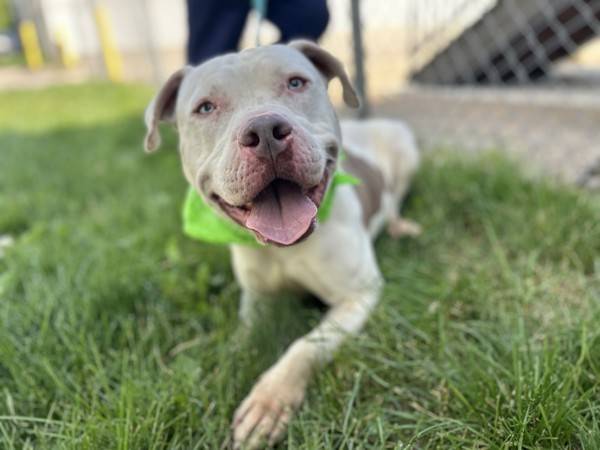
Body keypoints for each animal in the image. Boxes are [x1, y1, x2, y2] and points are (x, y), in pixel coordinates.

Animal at [144, 40, 420, 448]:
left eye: (295, 83)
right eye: (205, 107)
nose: (265, 131)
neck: (283, 249)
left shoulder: (358, 296)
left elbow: (305, 346)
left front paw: (269, 401)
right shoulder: (255, 298)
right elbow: (242, 338)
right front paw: (226, 364)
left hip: (404, 145)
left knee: (396, 196)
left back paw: (401, 225)